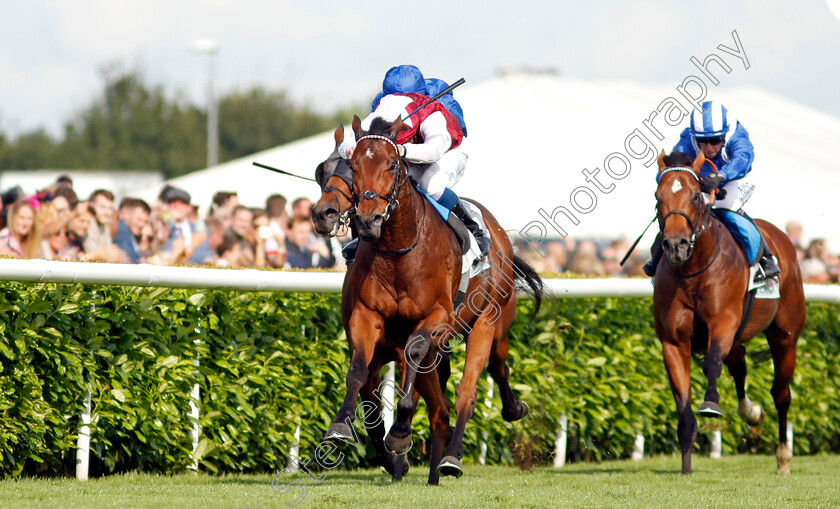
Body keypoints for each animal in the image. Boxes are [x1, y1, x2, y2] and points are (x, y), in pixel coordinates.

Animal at [322, 114, 544, 480]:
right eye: (352, 166)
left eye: (392, 164)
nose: (367, 218)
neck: (398, 254)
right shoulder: (366, 316)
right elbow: (358, 372)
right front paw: (341, 426)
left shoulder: (437, 316)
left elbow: (414, 353)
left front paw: (400, 432)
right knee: (439, 408)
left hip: (488, 323)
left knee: (475, 384)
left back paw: (457, 453)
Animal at [652, 149, 804, 474]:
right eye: (658, 196)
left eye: (695, 195)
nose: (675, 245)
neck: (694, 272)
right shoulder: (673, 342)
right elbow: (682, 397)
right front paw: (686, 464)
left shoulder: (723, 322)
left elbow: (711, 363)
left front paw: (711, 405)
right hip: (739, 338)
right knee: (740, 367)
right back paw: (751, 412)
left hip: (785, 337)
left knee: (781, 394)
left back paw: (783, 458)